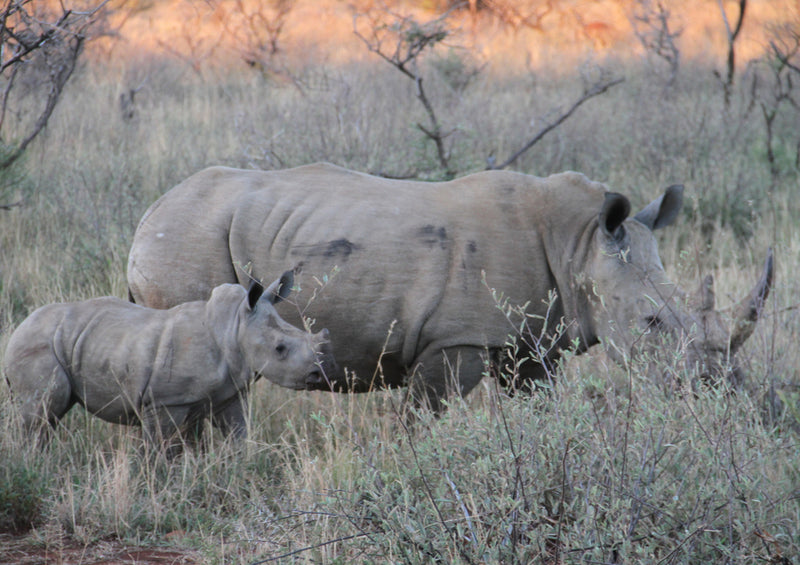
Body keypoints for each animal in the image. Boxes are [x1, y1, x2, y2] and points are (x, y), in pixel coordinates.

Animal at [3, 268, 334, 450]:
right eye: (280, 348)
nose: (317, 375)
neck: (234, 325)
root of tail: (17, 329)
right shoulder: (164, 402)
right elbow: (161, 449)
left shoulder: (229, 393)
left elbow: (238, 434)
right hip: (37, 345)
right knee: (43, 411)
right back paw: (32, 463)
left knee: (50, 414)